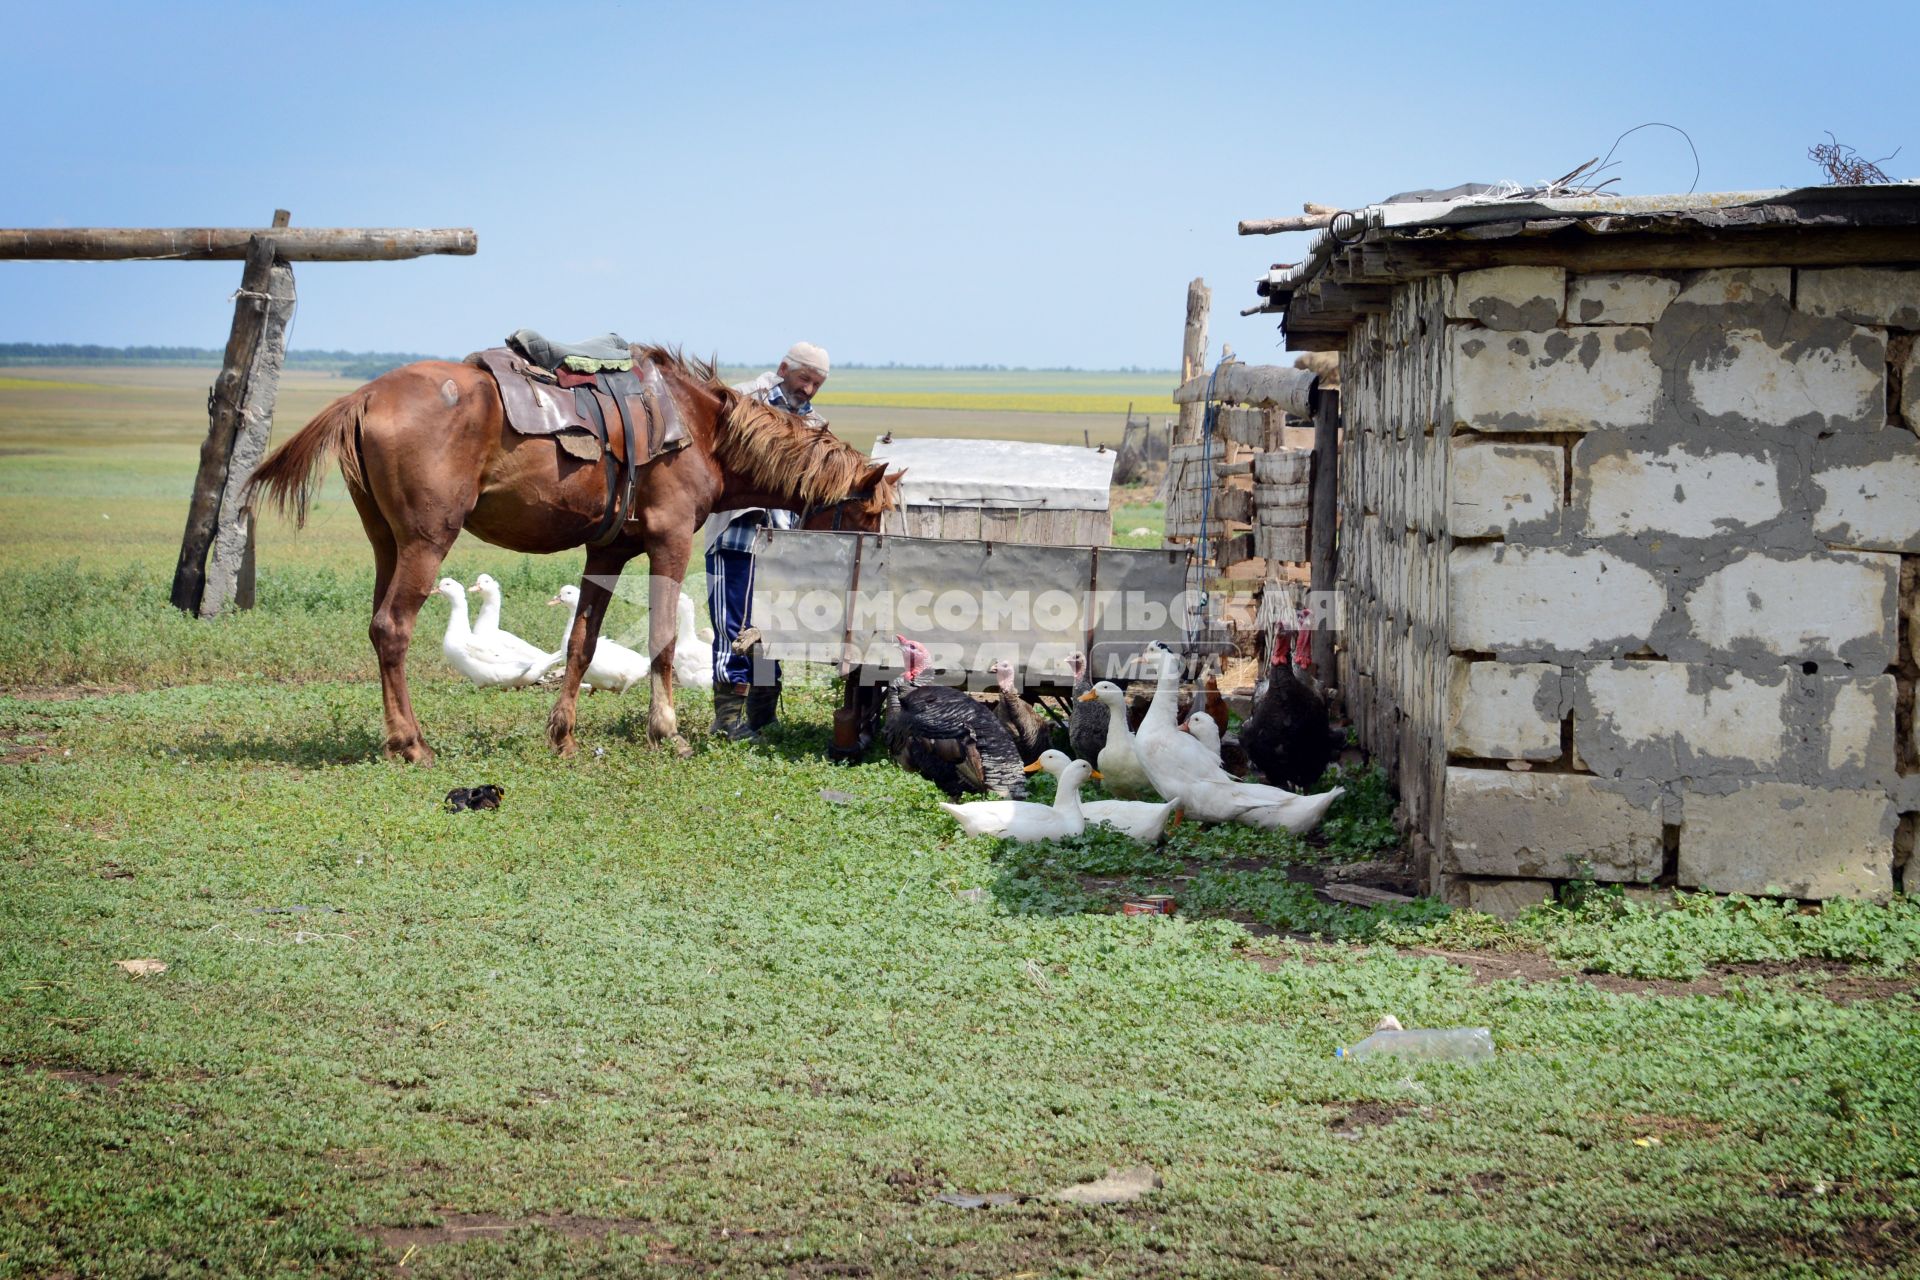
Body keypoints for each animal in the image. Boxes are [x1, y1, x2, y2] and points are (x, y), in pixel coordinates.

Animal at [247, 347, 898, 759]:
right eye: (869, 514)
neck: (703, 432)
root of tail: (366, 394)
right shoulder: (669, 541)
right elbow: (662, 639)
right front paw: (667, 732)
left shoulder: (607, 551)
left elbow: (583, 642)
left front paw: (562, 735)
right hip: (427, 542)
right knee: (393, 629)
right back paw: (413, 744)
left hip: (387, 543)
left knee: (378, 625)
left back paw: (395, 740)